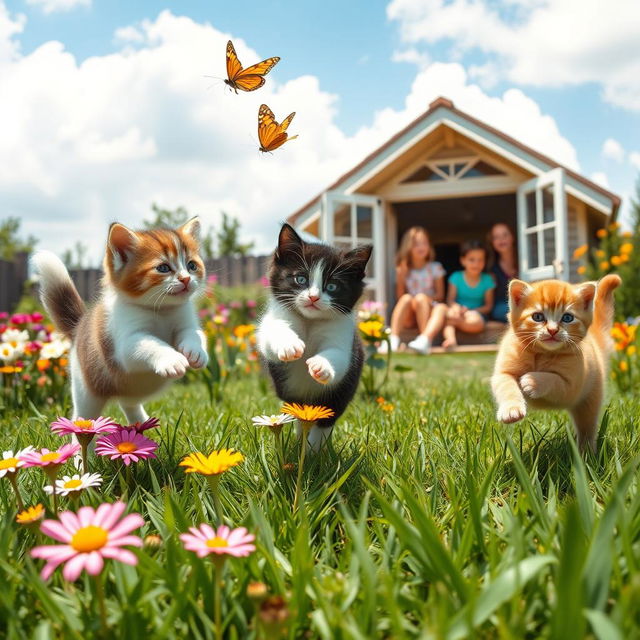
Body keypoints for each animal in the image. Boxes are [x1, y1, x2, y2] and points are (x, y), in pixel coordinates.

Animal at [32, 218, 209, 428]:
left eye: (191, 265)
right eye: (163, 268)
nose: (186, 278)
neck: (161, 310)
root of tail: (79, 326)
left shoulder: (186, 321)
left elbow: (194, 334)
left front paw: (196, 352)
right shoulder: (125, 344)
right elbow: (152, 344)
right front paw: (172, 359)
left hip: (129, 392)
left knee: (128, 403)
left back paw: (142, 423)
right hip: (86, 390)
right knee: (81, 419)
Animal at [258, 224, 372, 450]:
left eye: (332, 286)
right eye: (301, 279)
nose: (313, 297)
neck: (310, 321)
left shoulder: (345, 338)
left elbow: (338, 355)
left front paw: (321, 365)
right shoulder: (275, 318)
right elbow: (272, 334)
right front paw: (289, 346)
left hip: (339, 394)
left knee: (325, 419)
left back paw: (313, 450)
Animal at [490, 274, 620, 450]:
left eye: (567, 318)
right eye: (538, 317)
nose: (552, 330)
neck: (541, 353)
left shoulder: (571, 386)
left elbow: (554, 380)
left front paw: (532, 381)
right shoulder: (502, 373)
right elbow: (506, 386)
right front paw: (511, 410)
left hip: (590, 399)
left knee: (588, 428)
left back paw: (586, 453)